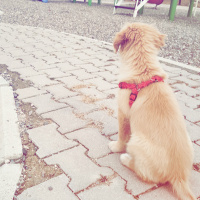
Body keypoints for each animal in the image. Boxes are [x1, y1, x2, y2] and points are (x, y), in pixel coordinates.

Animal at [109, 22, 195, 200]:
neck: (144, 69)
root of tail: (179, 176)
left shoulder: (123, 113)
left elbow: (122, 135)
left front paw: (116, 146)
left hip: (136, 141)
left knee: (143, 173)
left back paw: (125, 159)